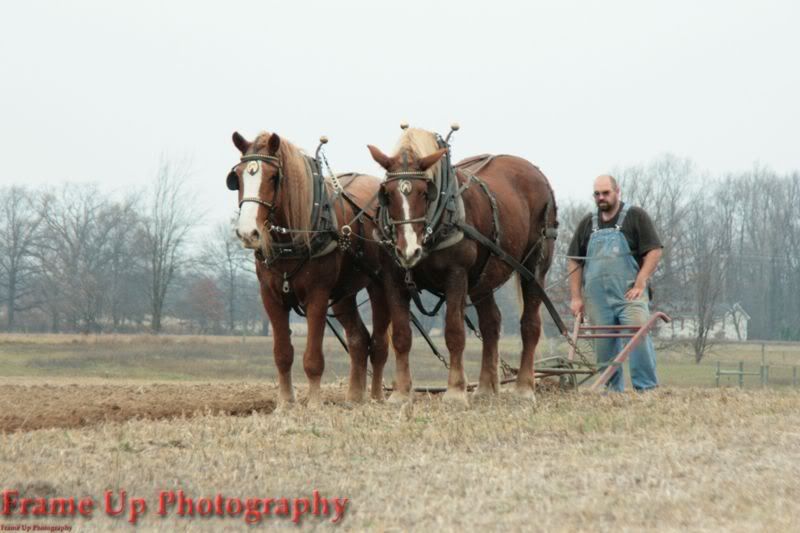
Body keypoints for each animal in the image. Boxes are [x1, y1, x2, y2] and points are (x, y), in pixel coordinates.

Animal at [225, 131, 390, 406]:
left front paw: (314, 403)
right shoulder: (270, 296)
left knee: (378, 344)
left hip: (380, 285)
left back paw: (376, 397)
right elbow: (282, 353)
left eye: (273, 177)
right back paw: (354, 398)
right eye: (236, 177)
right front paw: (285, 402)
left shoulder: (317, 296)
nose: (248, 233)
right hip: (343, 295)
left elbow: (313, 357)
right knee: (358, 339)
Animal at [368, 128, 556, 404]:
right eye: (388, 194)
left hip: (534, 267)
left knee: (530, 324)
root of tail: (535, 171)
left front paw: (455, 391)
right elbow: (402, 335)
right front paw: (401, 393)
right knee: (491, 324)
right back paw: (486, 387)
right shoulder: (393, 277)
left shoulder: (456, 275)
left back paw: (524, 388)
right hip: (483, 278)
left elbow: (454, 332)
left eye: (424, 192)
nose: (408, 251)